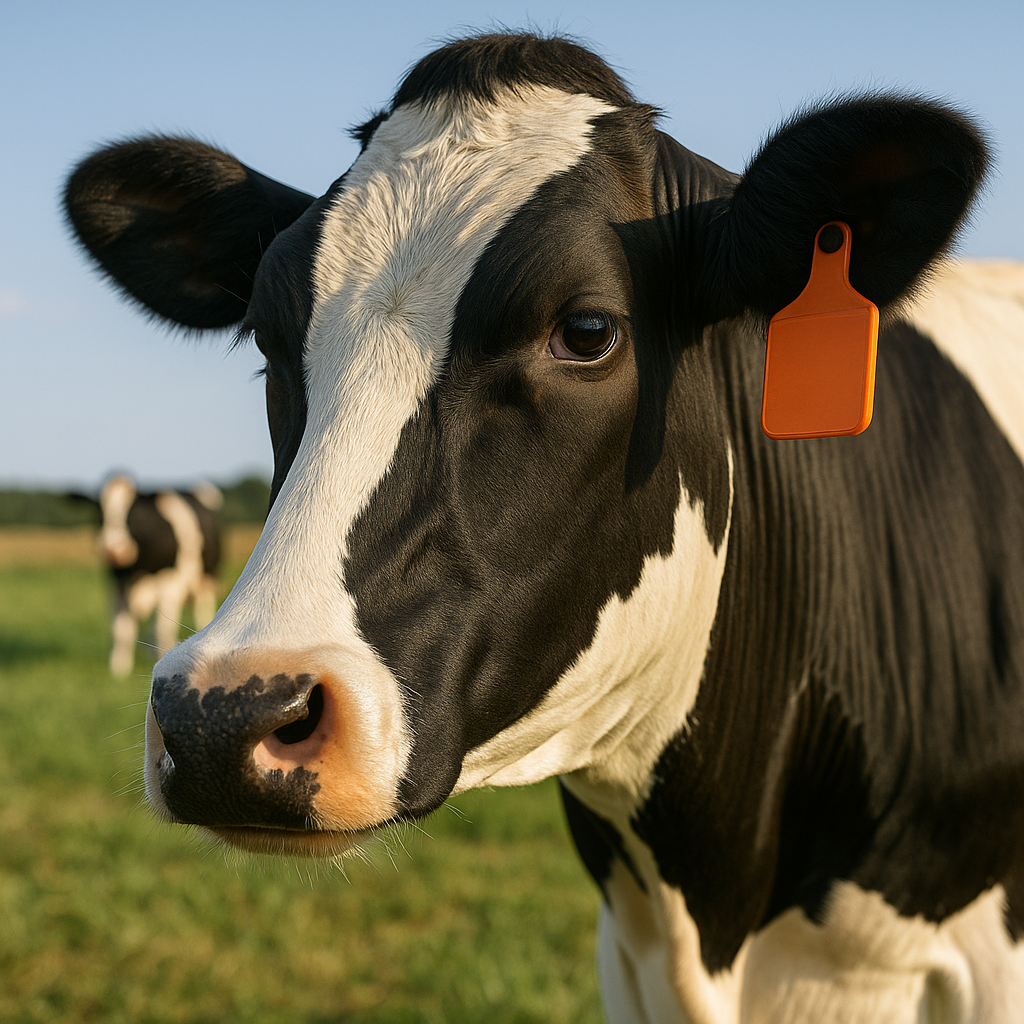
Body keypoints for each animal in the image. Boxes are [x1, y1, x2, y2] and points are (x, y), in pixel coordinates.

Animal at [72, 476, 222, 675]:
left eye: (135, 509)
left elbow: (162, 627)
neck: (140, 568)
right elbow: (121, 628)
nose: (114, 550)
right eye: (99, 508)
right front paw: (119, 667)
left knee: (202, 609)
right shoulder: (118, 584)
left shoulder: (170, 582)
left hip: (206, 578)